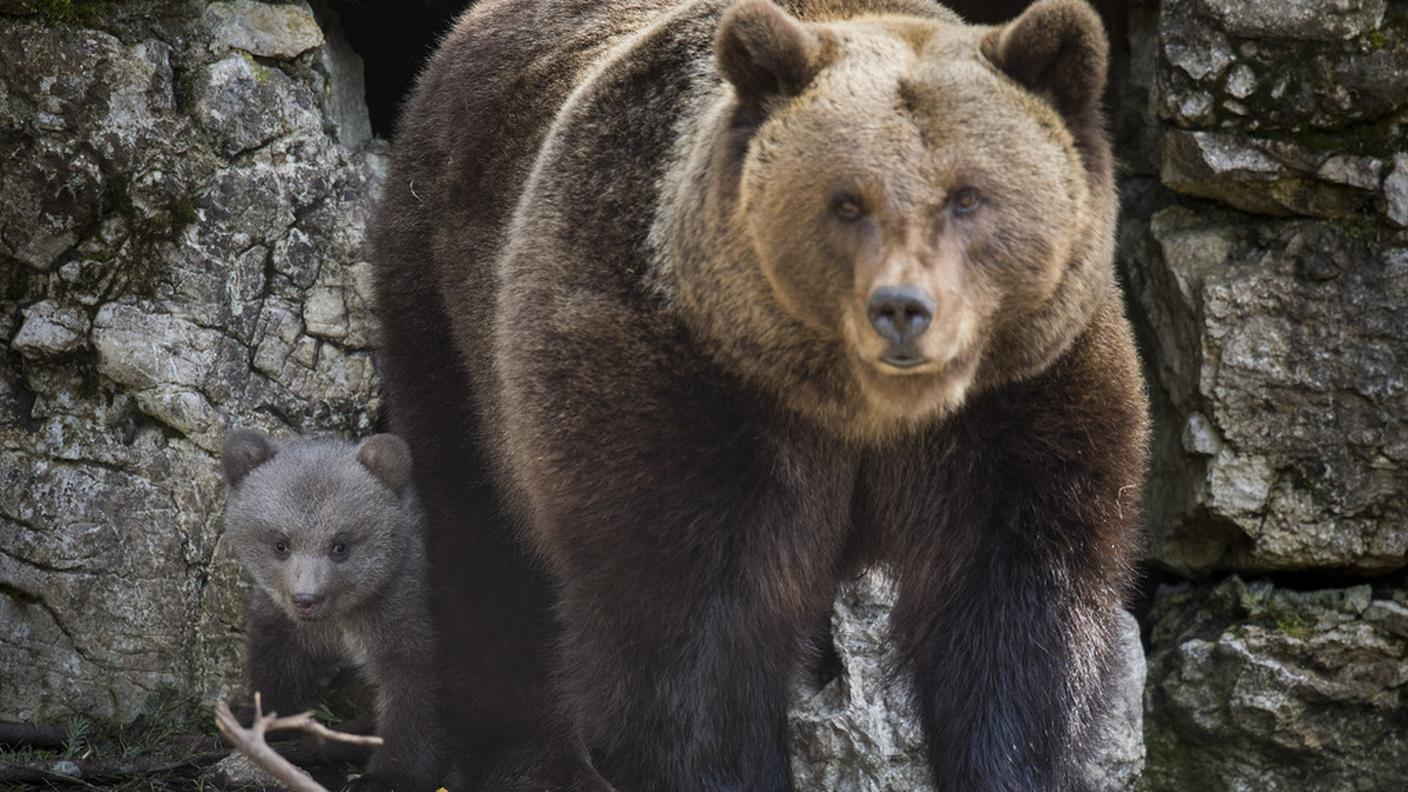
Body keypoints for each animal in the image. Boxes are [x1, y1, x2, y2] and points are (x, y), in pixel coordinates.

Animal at [221, 429, 445, 791]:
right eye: (281, 544)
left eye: (340, 545)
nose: (306, 598)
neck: (344, 618)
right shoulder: (285, 622)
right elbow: (274, 661)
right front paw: (256, 718)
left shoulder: (404, 616)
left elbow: (414, 693)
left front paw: (386, 775)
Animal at [369, 0, 1147, 789]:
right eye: (847, 202)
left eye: (967, 197)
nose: (903, 309)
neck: (863, 410)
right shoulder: (686, 387)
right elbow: (692, 637)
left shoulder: (1022, 402)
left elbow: (1014, 626)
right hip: (446, 315)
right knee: (478, 541)